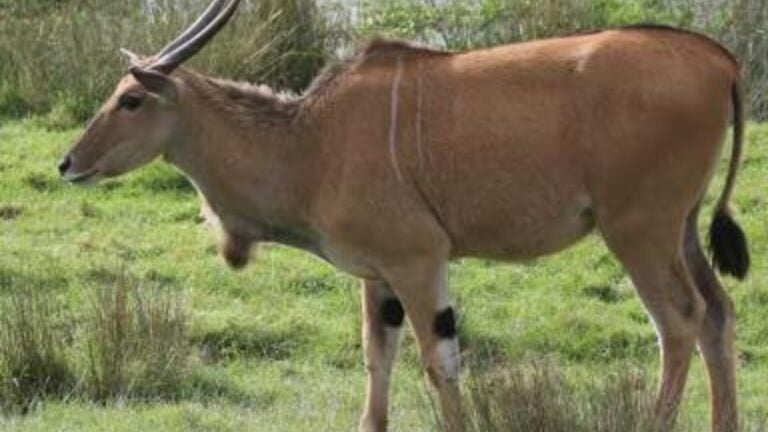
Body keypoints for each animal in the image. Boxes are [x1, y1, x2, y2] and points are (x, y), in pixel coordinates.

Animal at [59, 1, 751, 431]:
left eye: (130, 99)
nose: (69, 163)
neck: (311, 144)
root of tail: (721, 61)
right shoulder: (379, 275)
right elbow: (377, 356)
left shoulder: (418, 260)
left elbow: (439, 361)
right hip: (682, 228)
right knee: (717, 314)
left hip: (638, 228)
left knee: (679, 321)